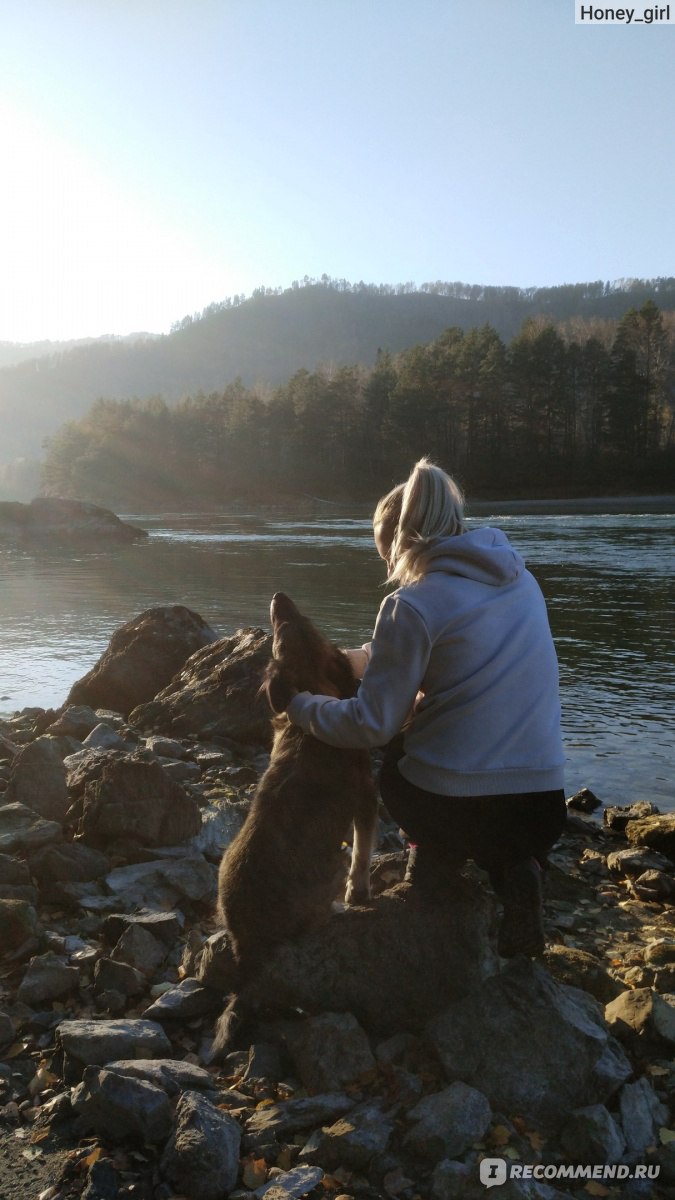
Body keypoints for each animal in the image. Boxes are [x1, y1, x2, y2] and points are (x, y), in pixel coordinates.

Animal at [211, 595, 379, 1056]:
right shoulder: (366, 796)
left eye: (302, 622)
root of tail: (249, 947)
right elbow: (362, 849)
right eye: (285, 626)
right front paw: (360, 891)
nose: (279, 597)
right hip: (328, 874)